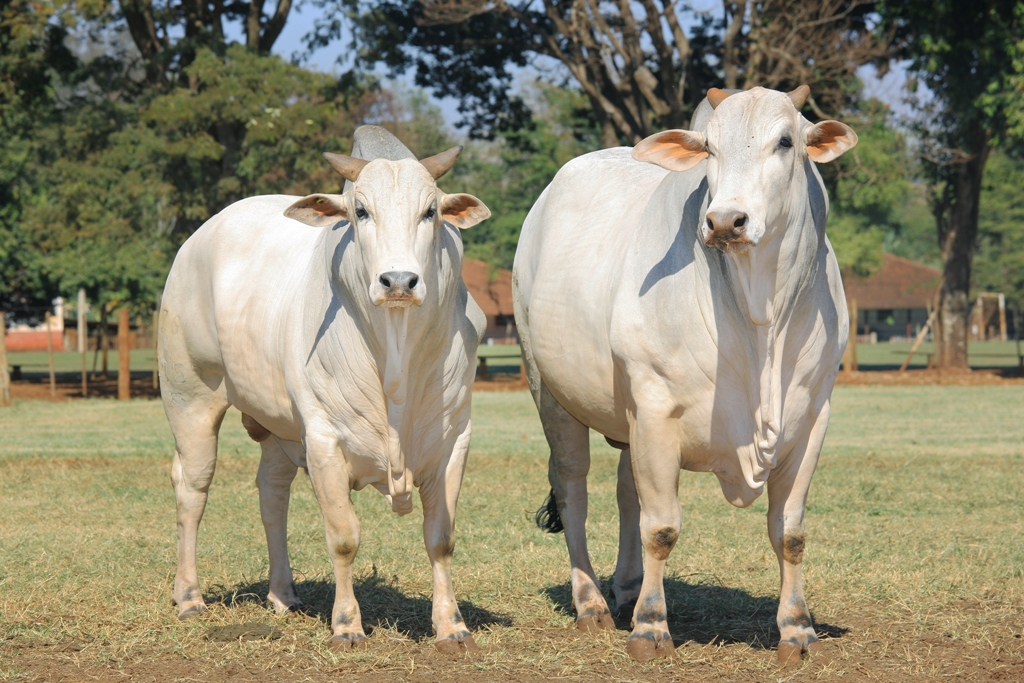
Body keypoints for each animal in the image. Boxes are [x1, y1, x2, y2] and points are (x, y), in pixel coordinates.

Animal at [160, 125, 491, 655]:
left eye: (430, 211)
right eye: (360, 211)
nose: (399, 280)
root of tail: (200, 236)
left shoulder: (452, 440)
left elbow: (440, 538)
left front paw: (452, 626)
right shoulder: (324, 440)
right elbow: (344, 537)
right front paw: (347, 624)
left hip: (277, 428)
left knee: (271, 493)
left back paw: (282, 593)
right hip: (189, 397)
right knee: (192, 488)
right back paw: (189, 596)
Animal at [512, 85, 856, 663]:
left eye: (786, 141)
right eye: (709, 148)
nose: (725, 221)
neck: (760, 318)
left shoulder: (814, 417)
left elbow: (789, 532)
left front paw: (797, 630)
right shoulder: (654, 405)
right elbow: (662, 528)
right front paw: (651, 627)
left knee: (626, 490)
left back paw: (627, 590)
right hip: (549, 390)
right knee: (573, 490)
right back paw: (592, 604)